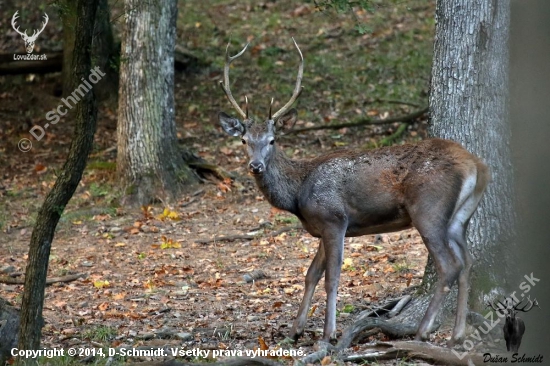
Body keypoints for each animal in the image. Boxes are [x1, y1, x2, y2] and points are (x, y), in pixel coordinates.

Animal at [220, 38, 492, 344]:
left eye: (272, 140)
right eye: (244, 140)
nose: (255, 166)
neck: (298, 195)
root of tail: (477, 165)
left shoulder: (334, 219)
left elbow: (332, 278)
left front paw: (328, 334)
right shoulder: (324, 227)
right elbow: (311, 274)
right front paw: (294, 330)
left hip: (429, 210)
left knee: (449, 266)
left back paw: (422, 331)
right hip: (460, 217)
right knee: (468, 263)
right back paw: (457, 334)